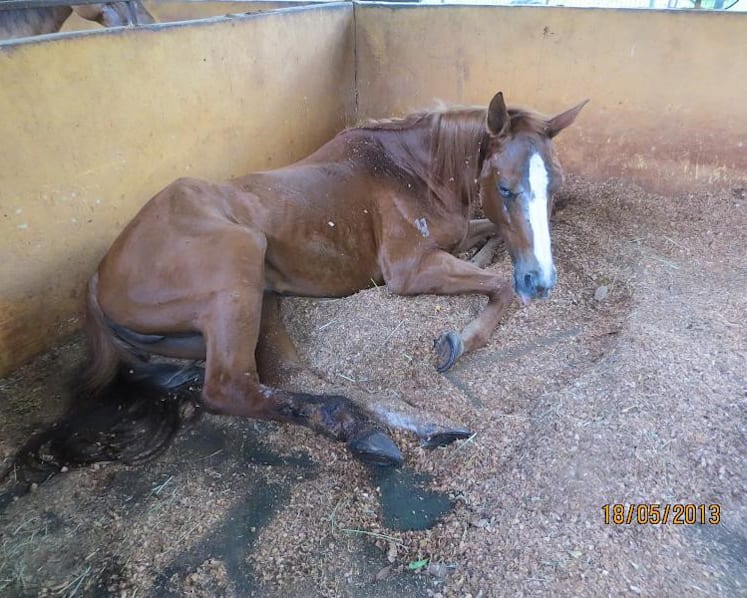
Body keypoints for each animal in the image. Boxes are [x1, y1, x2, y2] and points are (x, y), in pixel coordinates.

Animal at [10, 91, 587, 476]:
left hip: (257, 302)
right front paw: (458, 340)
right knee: (233, 388)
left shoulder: (455, 234)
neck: (408, 171)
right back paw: (378, 430)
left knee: (276, 372)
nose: (542, 281)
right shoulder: (409, 270)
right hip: (240, 264)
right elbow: (498, 286)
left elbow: (486, 243)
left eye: (553, 183)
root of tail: (98, 274)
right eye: (505, 187)